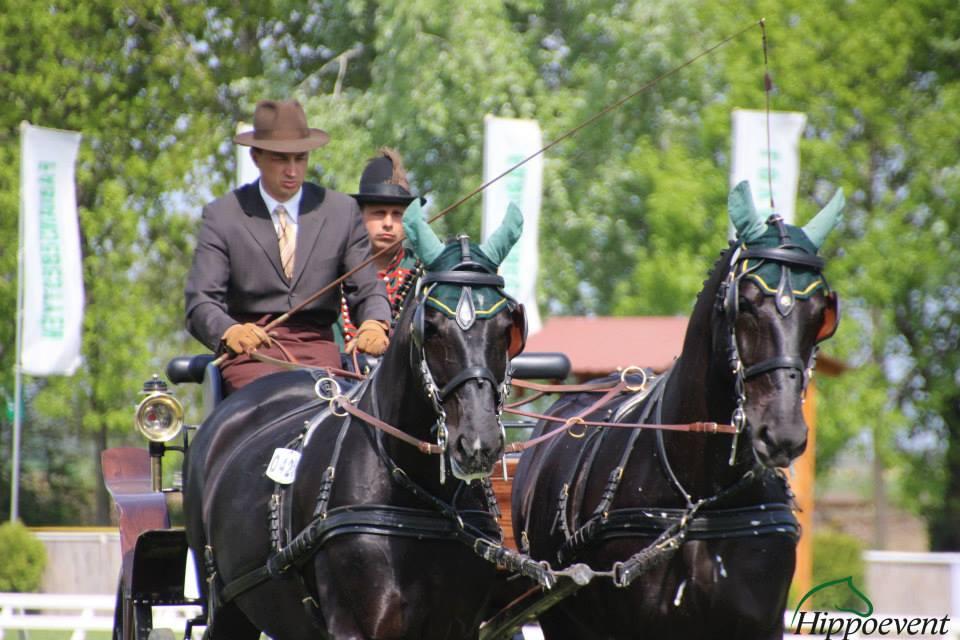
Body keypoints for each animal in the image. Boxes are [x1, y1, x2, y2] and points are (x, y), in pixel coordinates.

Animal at [186, 205, 532, 640]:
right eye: (431, 327)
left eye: (508, 330)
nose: (477, 444)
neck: (417, 496)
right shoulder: (354, 625)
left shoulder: (460, 625)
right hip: (225, 606)